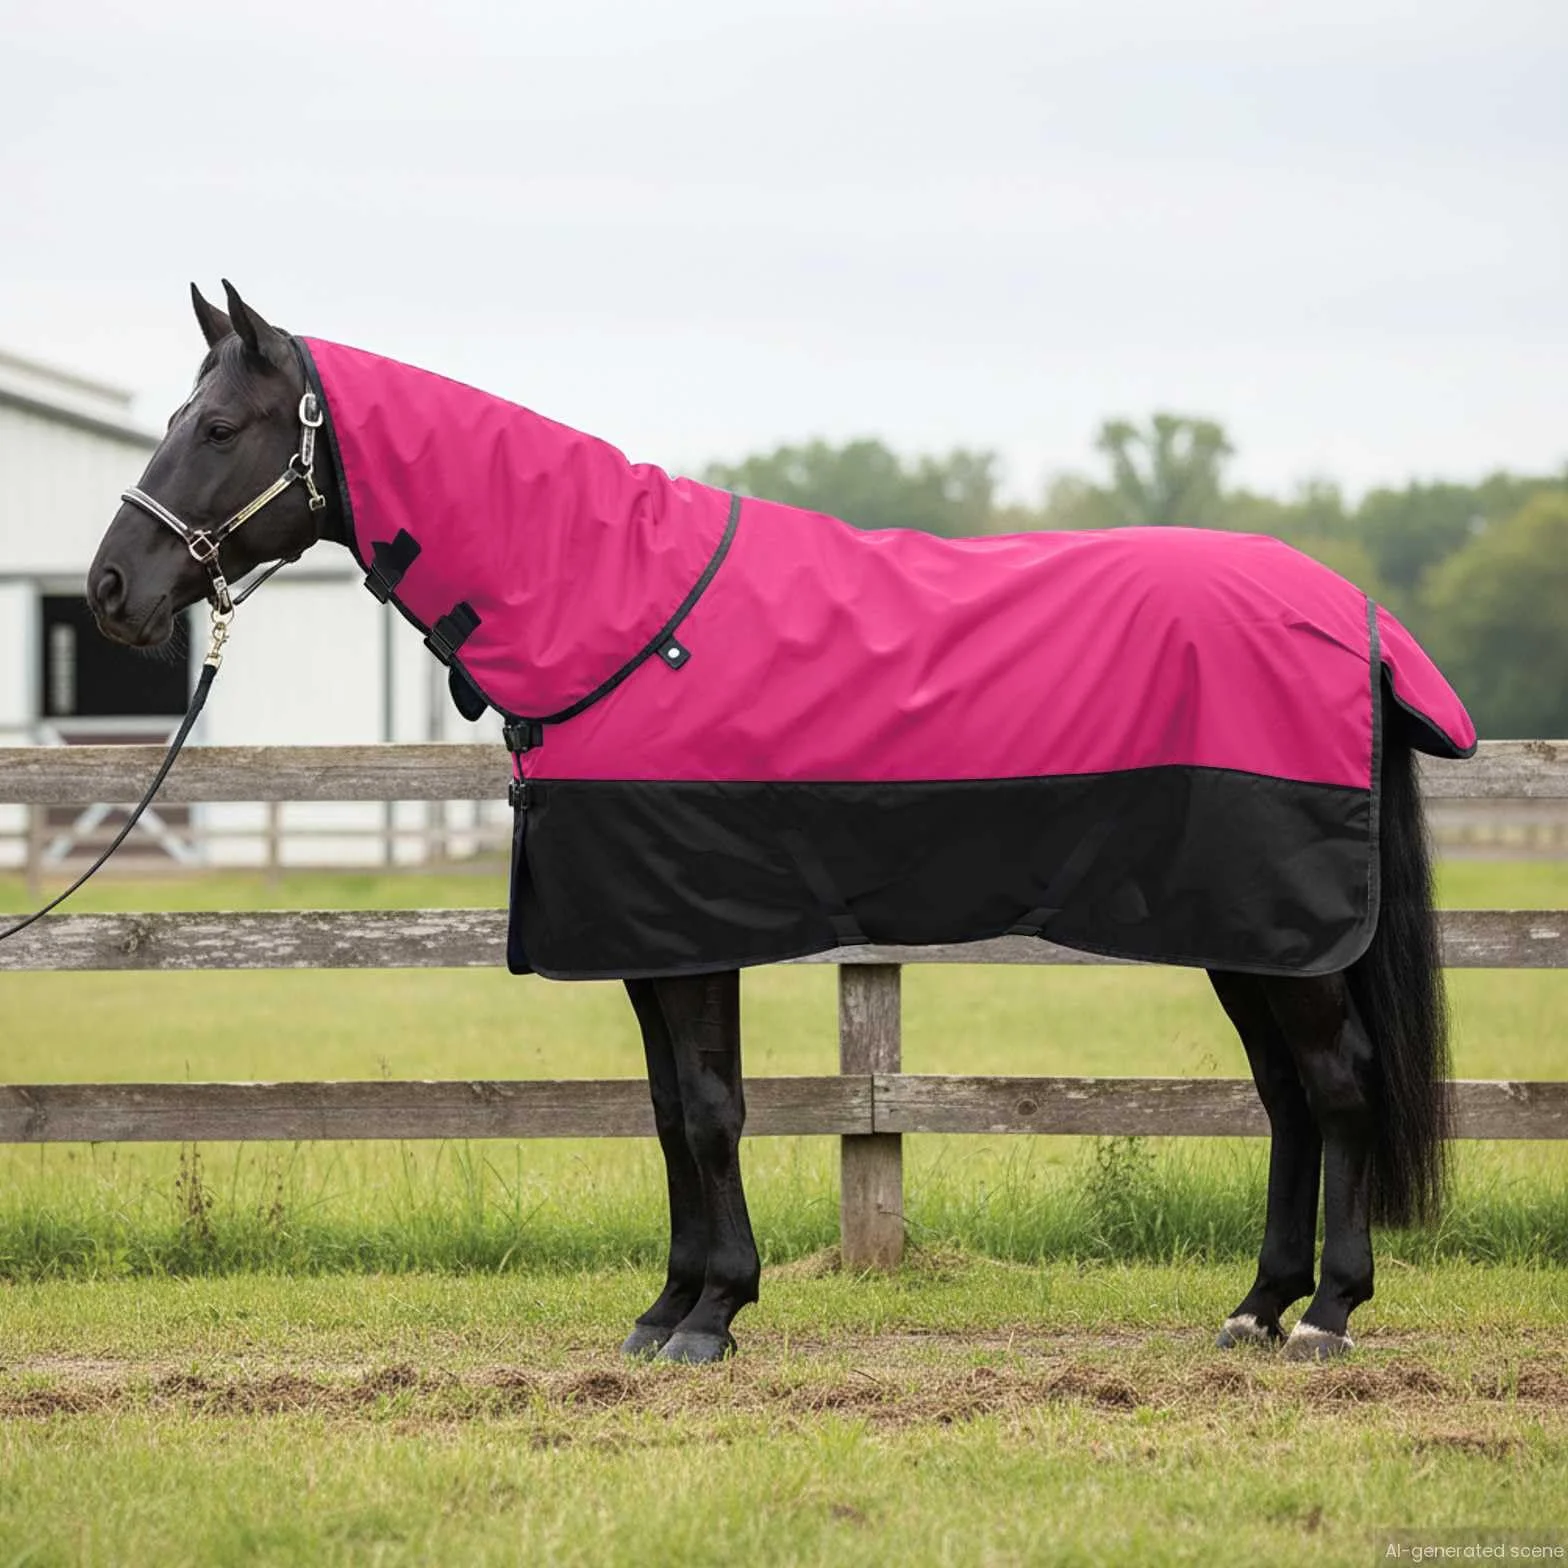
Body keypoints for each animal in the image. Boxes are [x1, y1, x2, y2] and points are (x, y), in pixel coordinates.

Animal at [86, 280, 1474, 1364]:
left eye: (218, 425)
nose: (110, 589)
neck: (617, 609)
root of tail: (1351, 615)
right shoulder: (645, 938)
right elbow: (666, 1112)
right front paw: (666, 1308)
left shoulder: (691, 929)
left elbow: (708, 1109)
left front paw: (711, 1316)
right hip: (1245, 933)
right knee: (1286, 1096)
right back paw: (1253, 1306)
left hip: (1279, 930)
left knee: (1336, 1085)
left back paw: (1325, 1314)